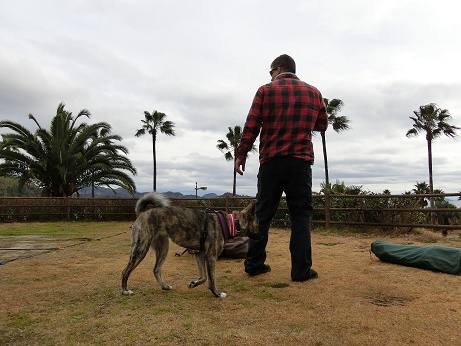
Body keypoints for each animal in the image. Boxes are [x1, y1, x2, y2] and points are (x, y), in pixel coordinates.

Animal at [120, 192, 260, 298]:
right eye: (258, 225)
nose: (262, 237)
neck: (231, 222)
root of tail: (142, 214)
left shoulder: (199, 255)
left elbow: (204, 277)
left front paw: (194, 283)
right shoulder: (211, 257)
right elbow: (211, 279)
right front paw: (217, 294)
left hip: (163, 248)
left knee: (156, 269)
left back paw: (164, 286)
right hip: (140, 249)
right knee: (125, 271)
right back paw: (125, 290)